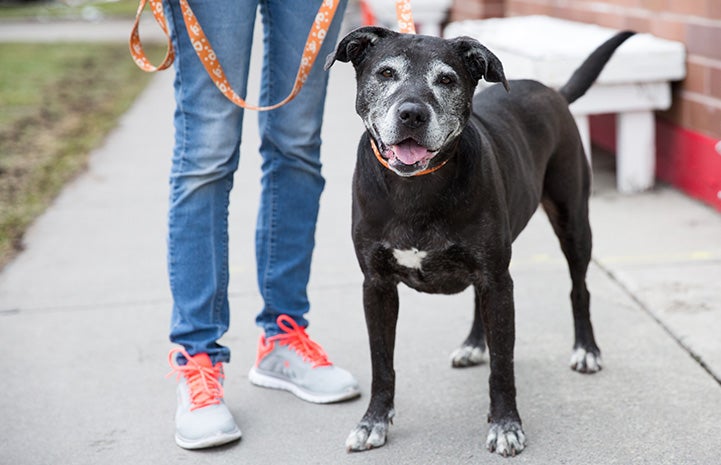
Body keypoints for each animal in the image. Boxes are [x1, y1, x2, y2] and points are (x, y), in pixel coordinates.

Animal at [324, 27, 632, 454]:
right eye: (386, 73)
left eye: (447, 80)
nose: (412, 113)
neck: (416, 188)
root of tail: (552, 91)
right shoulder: (377, 286)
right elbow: (381, 362)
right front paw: (373, 422)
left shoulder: (498, 282)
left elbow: (503, 364)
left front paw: (506, 425)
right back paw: (474, 343)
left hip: (573, 222)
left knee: (579, 288)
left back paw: (586, 350)